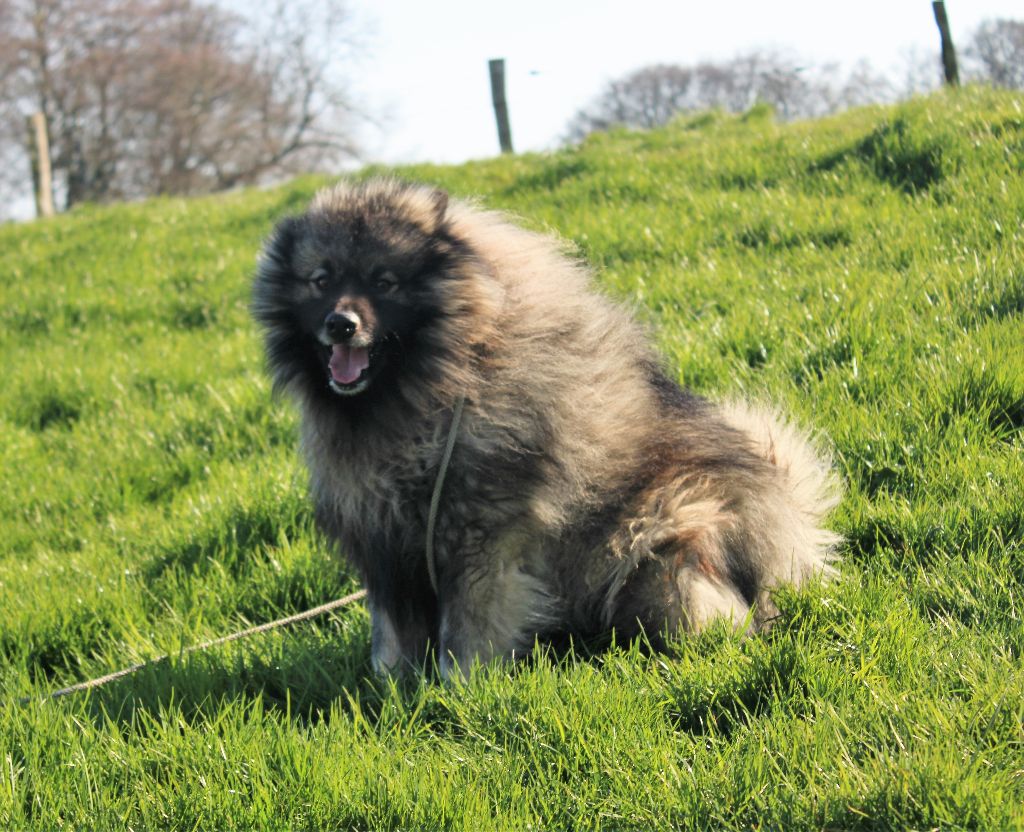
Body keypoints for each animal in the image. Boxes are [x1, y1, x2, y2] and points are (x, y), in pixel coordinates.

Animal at [249, 178, 839, 680]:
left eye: (383, 282)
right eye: (321, 281)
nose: (341, 324)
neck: (428, 393)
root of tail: (791, 525)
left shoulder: (480, 538)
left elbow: (468, 628)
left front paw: (459, 689)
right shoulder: (384, 541)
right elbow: (392, 637)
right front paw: (391, 689)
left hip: (664, 533)